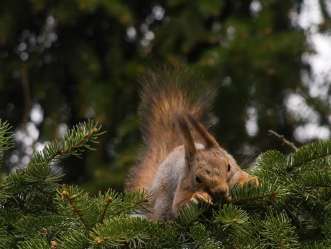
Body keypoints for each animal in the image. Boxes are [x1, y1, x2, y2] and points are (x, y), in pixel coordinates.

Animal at [126, 69, 258, 220]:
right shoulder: (184, 183)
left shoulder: (234, 168)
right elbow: (179, 206)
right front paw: (196, 199)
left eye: (228, 167)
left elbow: (240, 175)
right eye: (197, 179)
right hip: (163, 200)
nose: (221, 191)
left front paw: (248, 182)